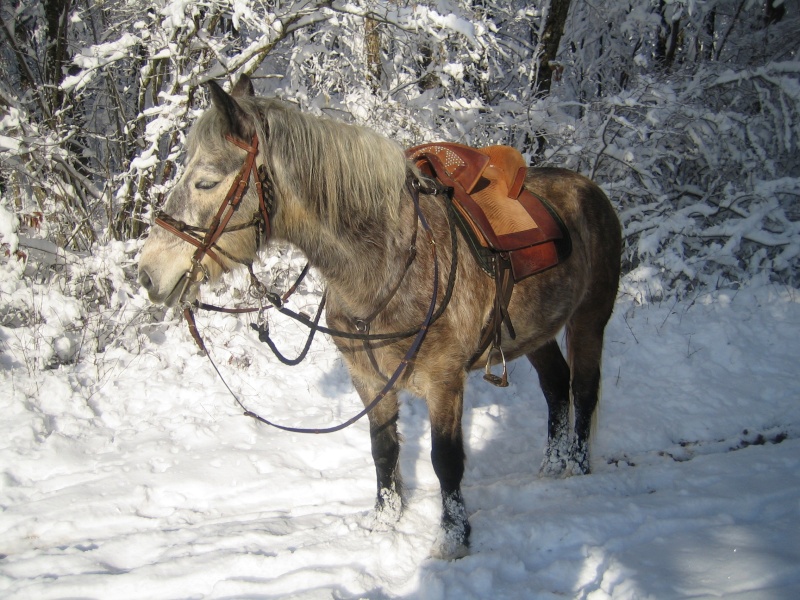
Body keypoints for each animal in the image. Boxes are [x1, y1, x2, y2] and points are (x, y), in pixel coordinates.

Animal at [138, 76, 620, 564]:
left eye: (206, 181)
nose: (148, 273)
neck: (387, 263)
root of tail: (589, 188)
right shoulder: (369, 379)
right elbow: (382, 449)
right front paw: (384, 520)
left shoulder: (444, 381)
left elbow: (446, 461)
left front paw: (452, 539)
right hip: (536, 332)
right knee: (555, 386)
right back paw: (553, 466)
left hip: (589, 320)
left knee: (583, 388)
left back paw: (576, 465)